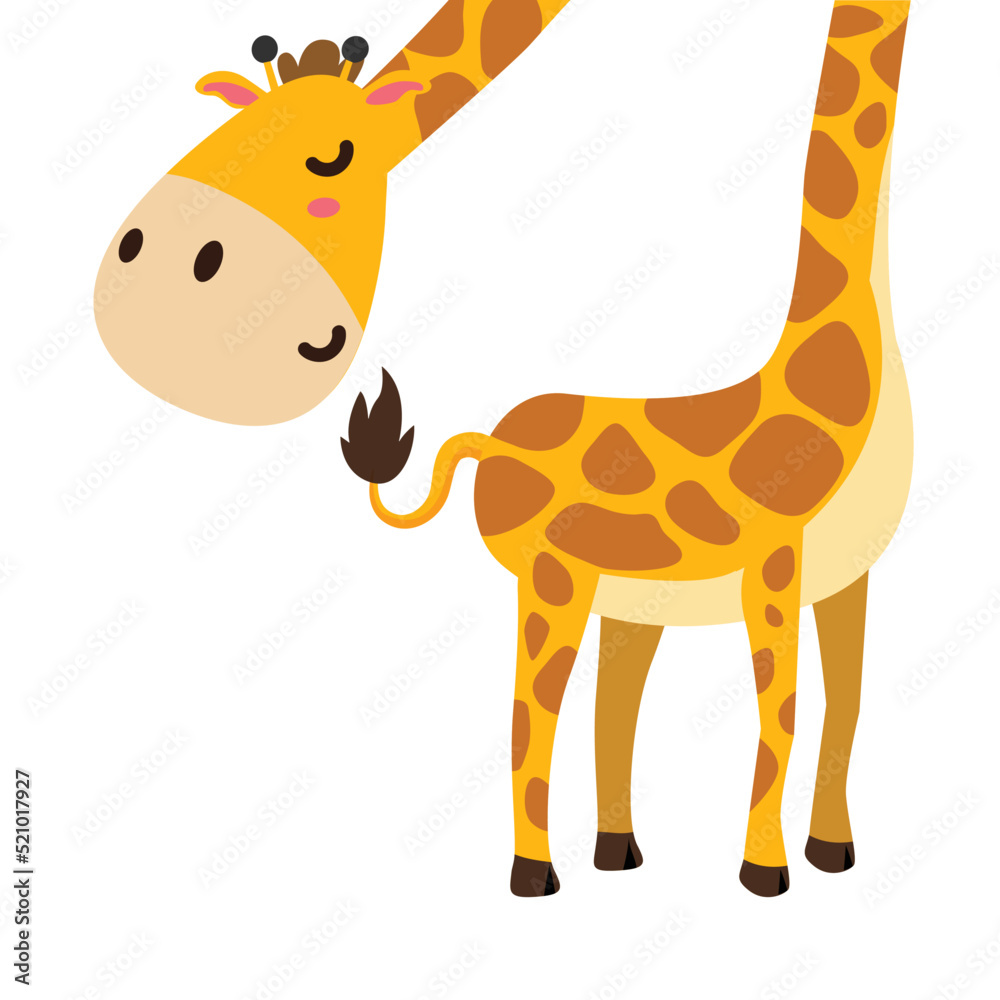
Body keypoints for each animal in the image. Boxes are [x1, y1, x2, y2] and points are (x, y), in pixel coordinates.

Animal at [343, 2, 913, 896]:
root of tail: (488, 444)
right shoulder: (775, 562)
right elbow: (783, 710)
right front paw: (765, 872)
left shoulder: (849, 573)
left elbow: (846, 705)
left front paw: (834, 853)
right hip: (551, 579)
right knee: (529, 712)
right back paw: (535, 873)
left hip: (627, 600)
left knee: (608, 708)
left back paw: (619, 853)